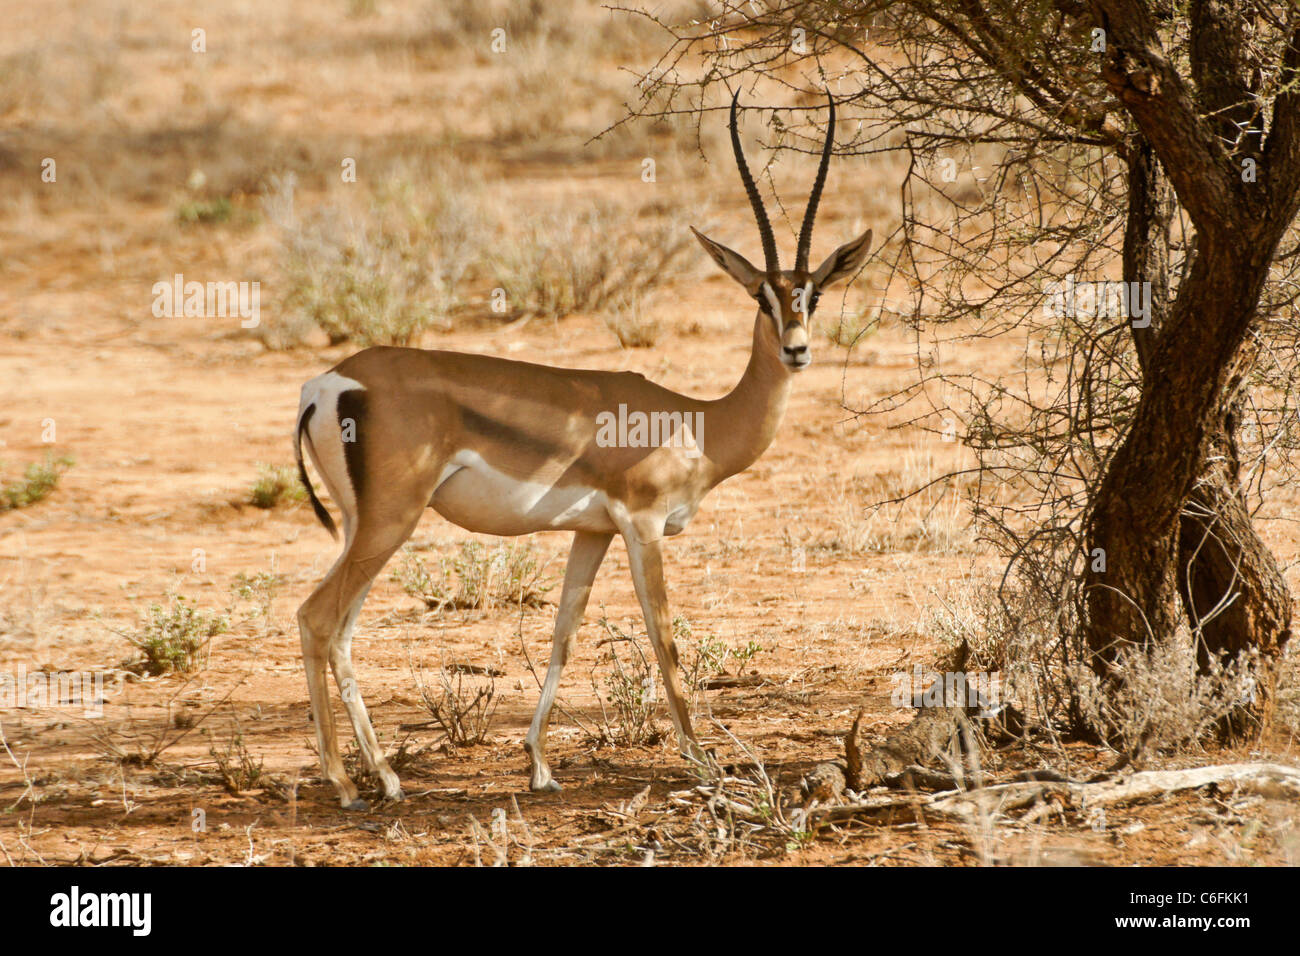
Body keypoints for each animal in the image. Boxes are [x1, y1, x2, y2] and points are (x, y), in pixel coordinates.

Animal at [293, 91, 872, 809]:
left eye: (812, 294)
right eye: (760, 296)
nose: (798, 349)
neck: (697, 423)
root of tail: (327, 384)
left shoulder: (591, 532)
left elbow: (563, 634)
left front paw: (540, 765)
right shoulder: (642, 526)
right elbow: (663, 638)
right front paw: (702, 761)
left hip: (361, 527)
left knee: (340, 629)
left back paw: (379, 776)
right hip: (390, 522)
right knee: (318, 619)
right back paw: (350, 782)